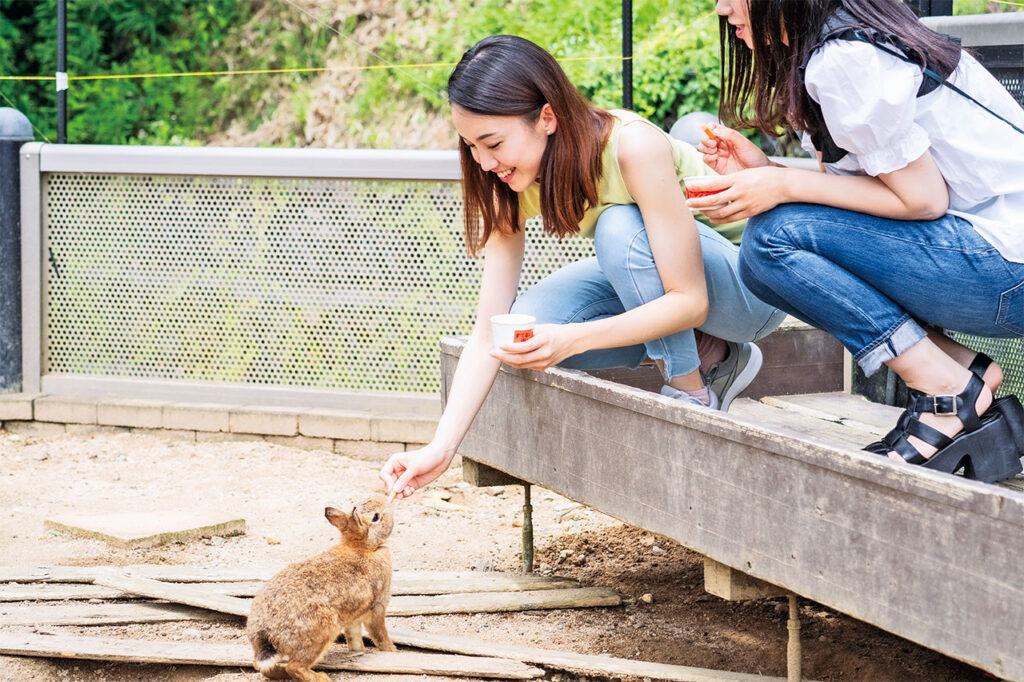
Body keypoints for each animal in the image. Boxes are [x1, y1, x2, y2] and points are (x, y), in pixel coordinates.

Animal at [243, 493, 395, 679]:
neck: (364, 548)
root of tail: (265, 634)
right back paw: (321, 678)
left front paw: (358, 650)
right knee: (295, 666)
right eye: (376, 517)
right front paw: (392, 650)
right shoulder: (377, 606)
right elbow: (379, 633)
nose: (384, 498)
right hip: (321, 632)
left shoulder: (353, 619)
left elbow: (354, 637)